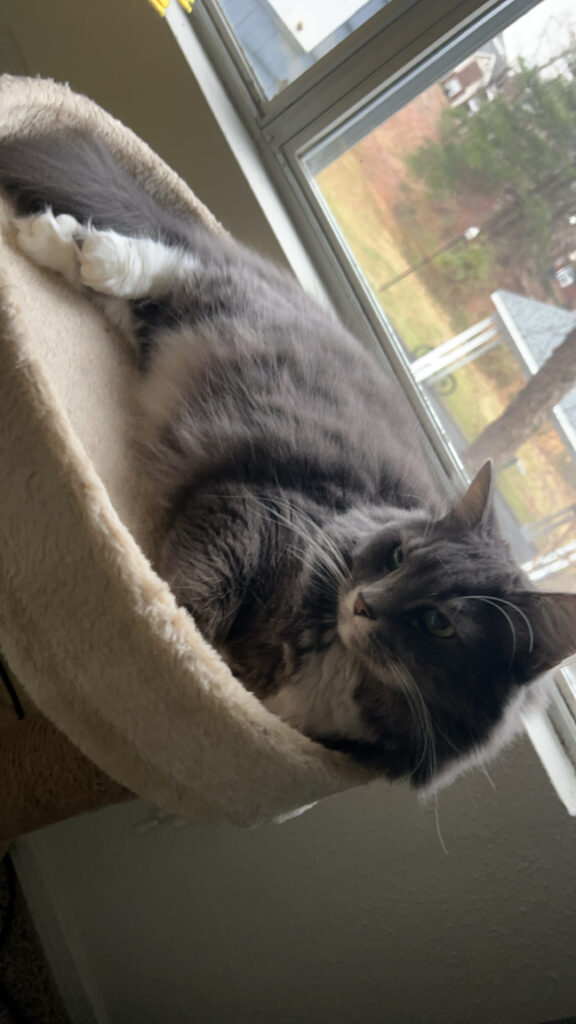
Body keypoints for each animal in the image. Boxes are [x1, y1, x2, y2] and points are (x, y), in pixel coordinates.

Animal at [1, 134, 573, 790]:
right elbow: (194, 607)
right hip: (218, 305)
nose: (365, 604)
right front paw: (169, 642)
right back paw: (55, 238)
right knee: (166, 260)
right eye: (398, 556)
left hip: (171, 335)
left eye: (439, 625)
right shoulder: (250, 512)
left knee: (144, 296)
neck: (336, 661)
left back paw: (58, 240)